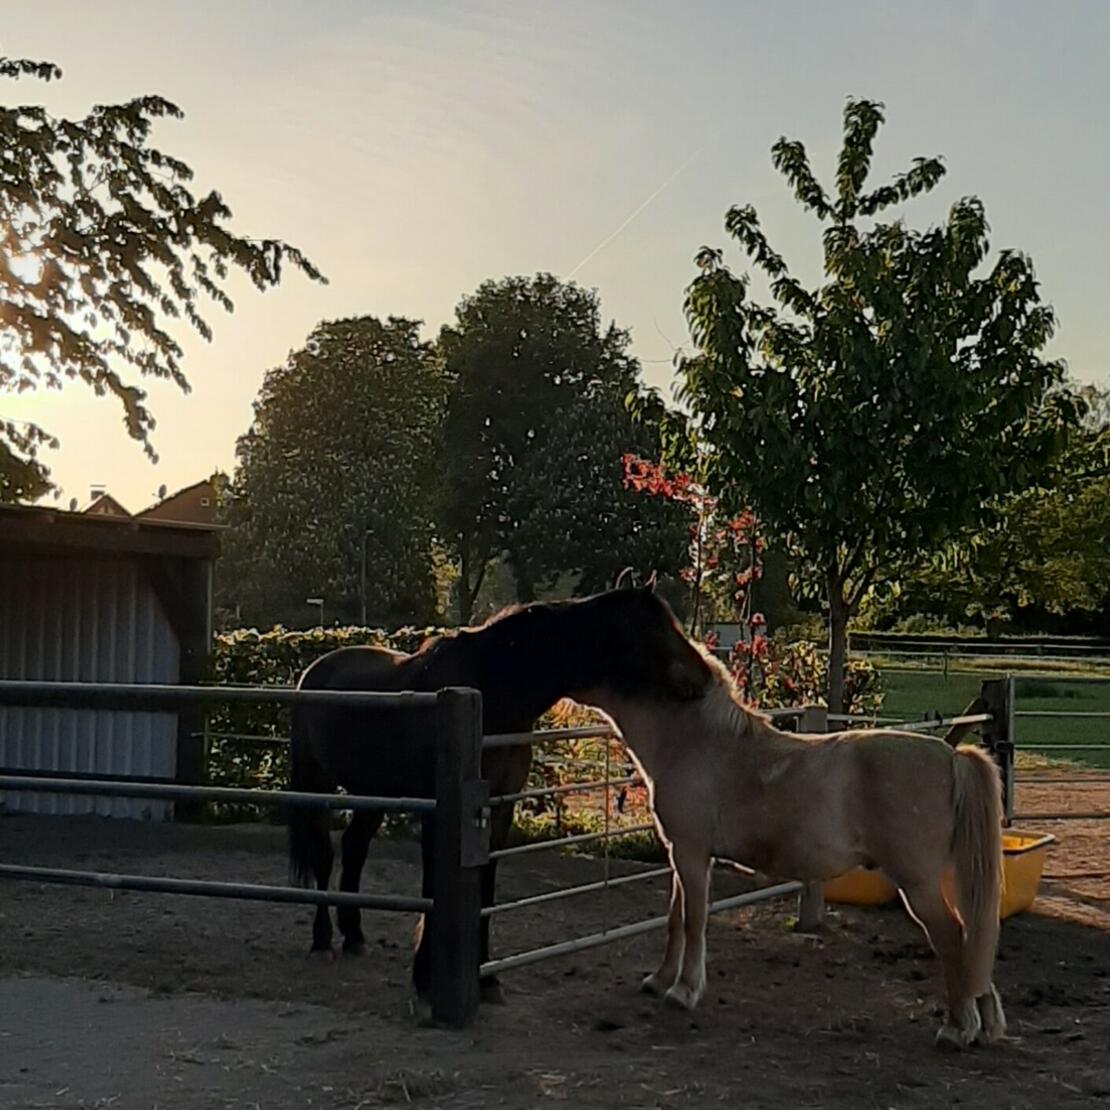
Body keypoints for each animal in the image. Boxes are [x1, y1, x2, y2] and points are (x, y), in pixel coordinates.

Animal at [287, 578, 708, 1003]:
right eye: (652, 629)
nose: (704, 676)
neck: (492, 690)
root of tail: (313, 672)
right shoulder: (440, 810)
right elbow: (433, 884)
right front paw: (424, 978)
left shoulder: (499, 806)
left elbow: (485, 889)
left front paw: (486, 979)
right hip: (316, 784)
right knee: (323, 855)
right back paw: (322, 941)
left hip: (375, 793)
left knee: (354, 849)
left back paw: (354, 935)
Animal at [574, 590, 1006, 1049]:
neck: (697, 743)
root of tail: (952, 757)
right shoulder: (682, 855)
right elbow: (675, 919)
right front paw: (659, 981)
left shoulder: (691, 854)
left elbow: (693, 920)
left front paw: (684, 991)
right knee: (974, 937)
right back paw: (983, 1023)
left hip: (919, 883)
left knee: (954, 936)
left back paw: (957, 1027)